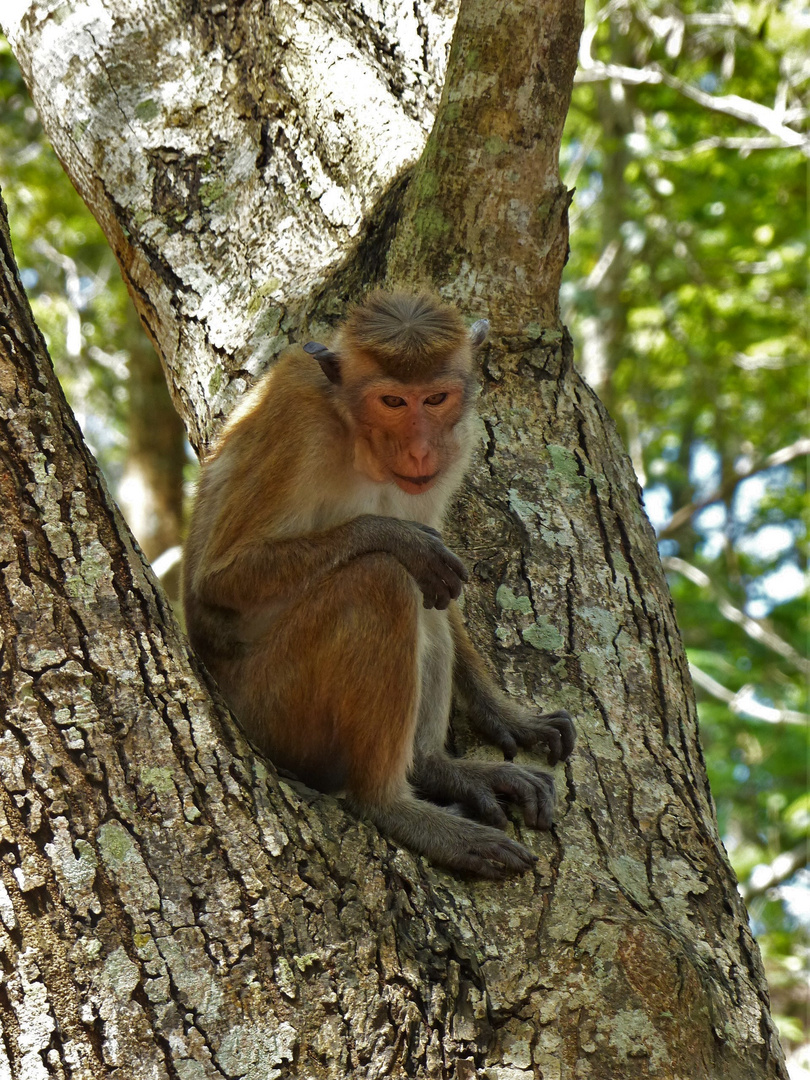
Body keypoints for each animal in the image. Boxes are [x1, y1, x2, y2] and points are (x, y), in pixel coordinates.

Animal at [183, 289, 578, 876]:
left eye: (434, 399)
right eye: (392, 402)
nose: (419, 450)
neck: (356, 438)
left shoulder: (455, 447)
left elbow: (446, 583)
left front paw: (504, 713)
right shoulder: (296, 421)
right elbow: (219, 579)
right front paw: (395, 535)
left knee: (426, 600)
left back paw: (433, 766)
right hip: (272, 712)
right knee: (383, 580)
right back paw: (394, 807)